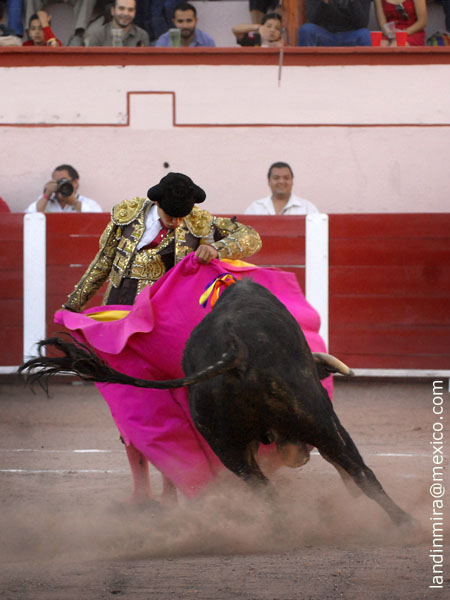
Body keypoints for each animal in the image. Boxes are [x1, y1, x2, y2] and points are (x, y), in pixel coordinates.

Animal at [20, 280, 412, 524]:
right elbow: (351, 468)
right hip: (317, 416)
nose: (298, 456)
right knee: (359, 470)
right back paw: (406, 523)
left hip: (226, 445)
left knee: (264, 491)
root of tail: (235, 347)